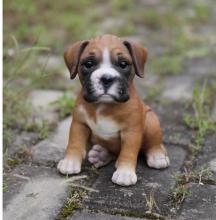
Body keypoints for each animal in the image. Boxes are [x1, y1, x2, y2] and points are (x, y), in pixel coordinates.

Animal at [57, 34, 170, 186]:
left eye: (123, 64)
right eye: (89, 64)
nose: (106, 78)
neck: (104, 105)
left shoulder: (132, 131)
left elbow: (128, 151)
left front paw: (125, 172)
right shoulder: (79, 124)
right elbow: (74, 143)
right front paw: (70, 162)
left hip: (151, 120)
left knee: (153, 144)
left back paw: (157, 156)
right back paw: (101, 155)